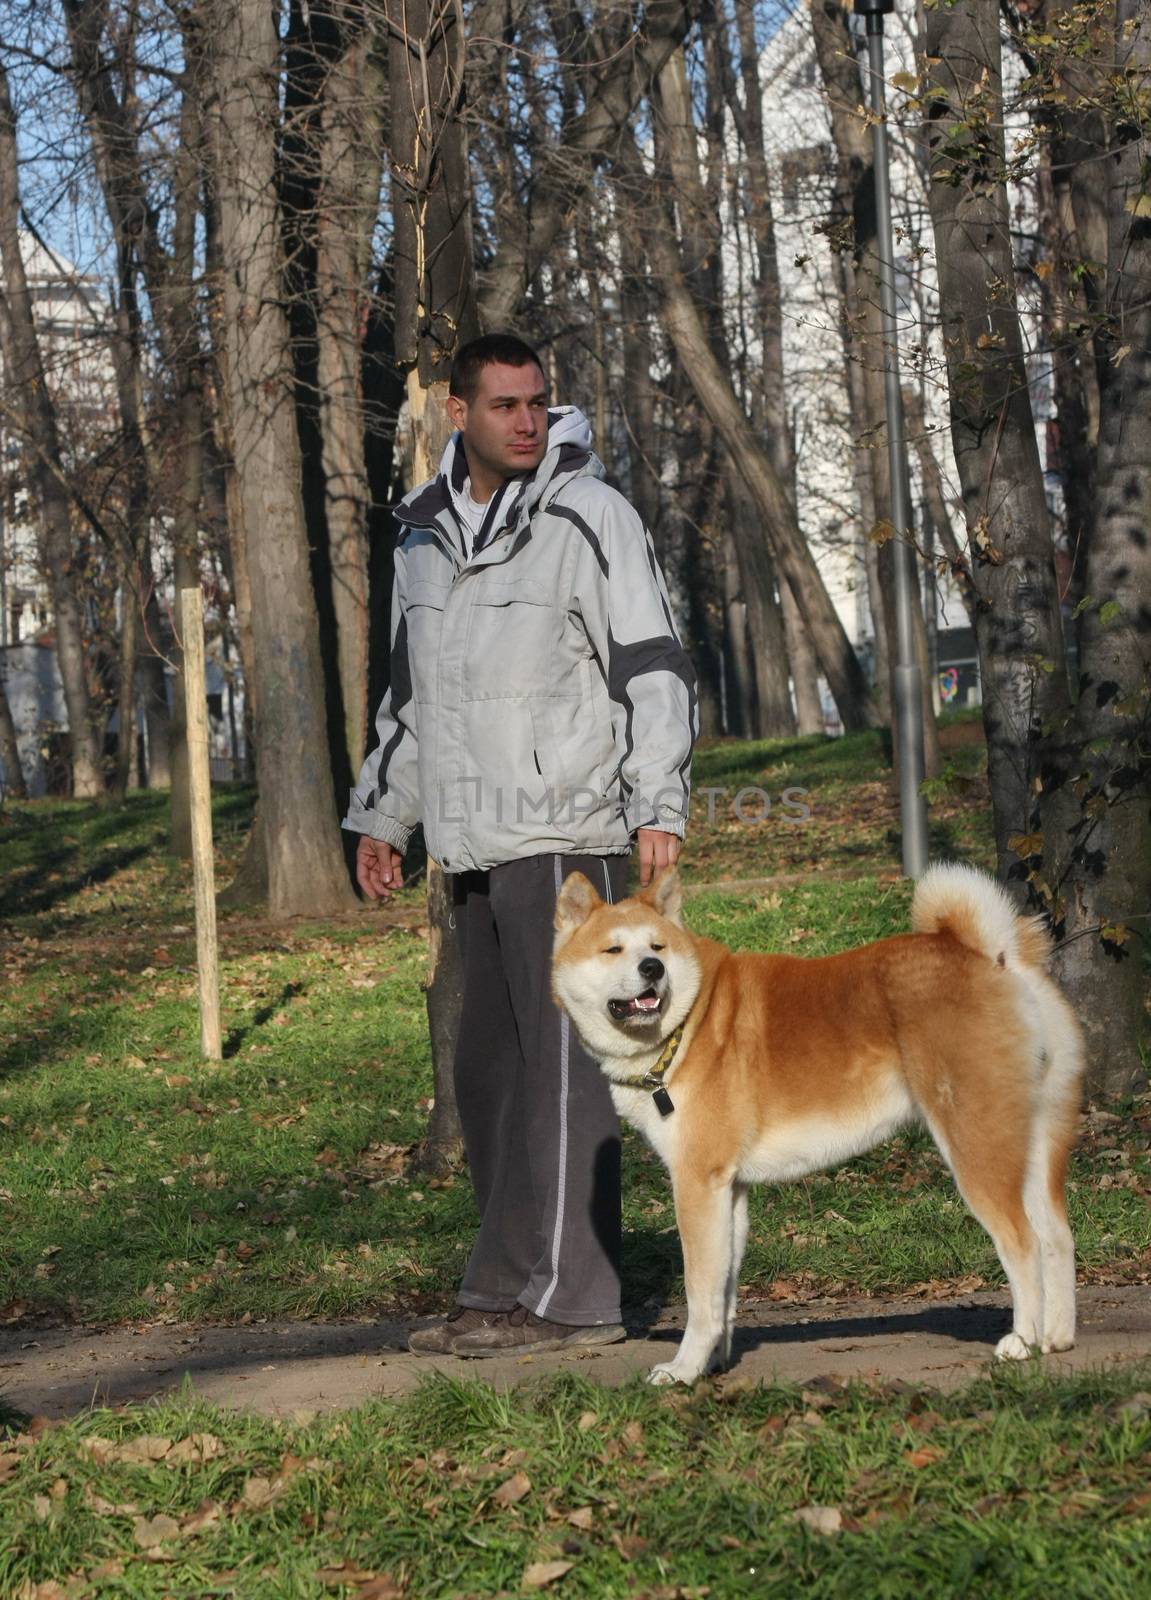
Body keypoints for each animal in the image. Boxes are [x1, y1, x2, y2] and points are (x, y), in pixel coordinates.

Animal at [553, 864, 1082, 1388]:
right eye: (614, 949)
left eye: (656, 947)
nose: (652, 970)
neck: (689, 1023)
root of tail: (995, 956)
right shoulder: (729, 1189)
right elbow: (724, 1292)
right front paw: (715, 1361)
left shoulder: (697, 1183)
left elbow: (700, 1293)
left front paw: (683, 1370)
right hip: (1034, 1142)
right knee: (1057, 1237)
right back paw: (1056, 1337)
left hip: (977, 1145)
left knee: (1024, 1243)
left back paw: (1022, 1342)